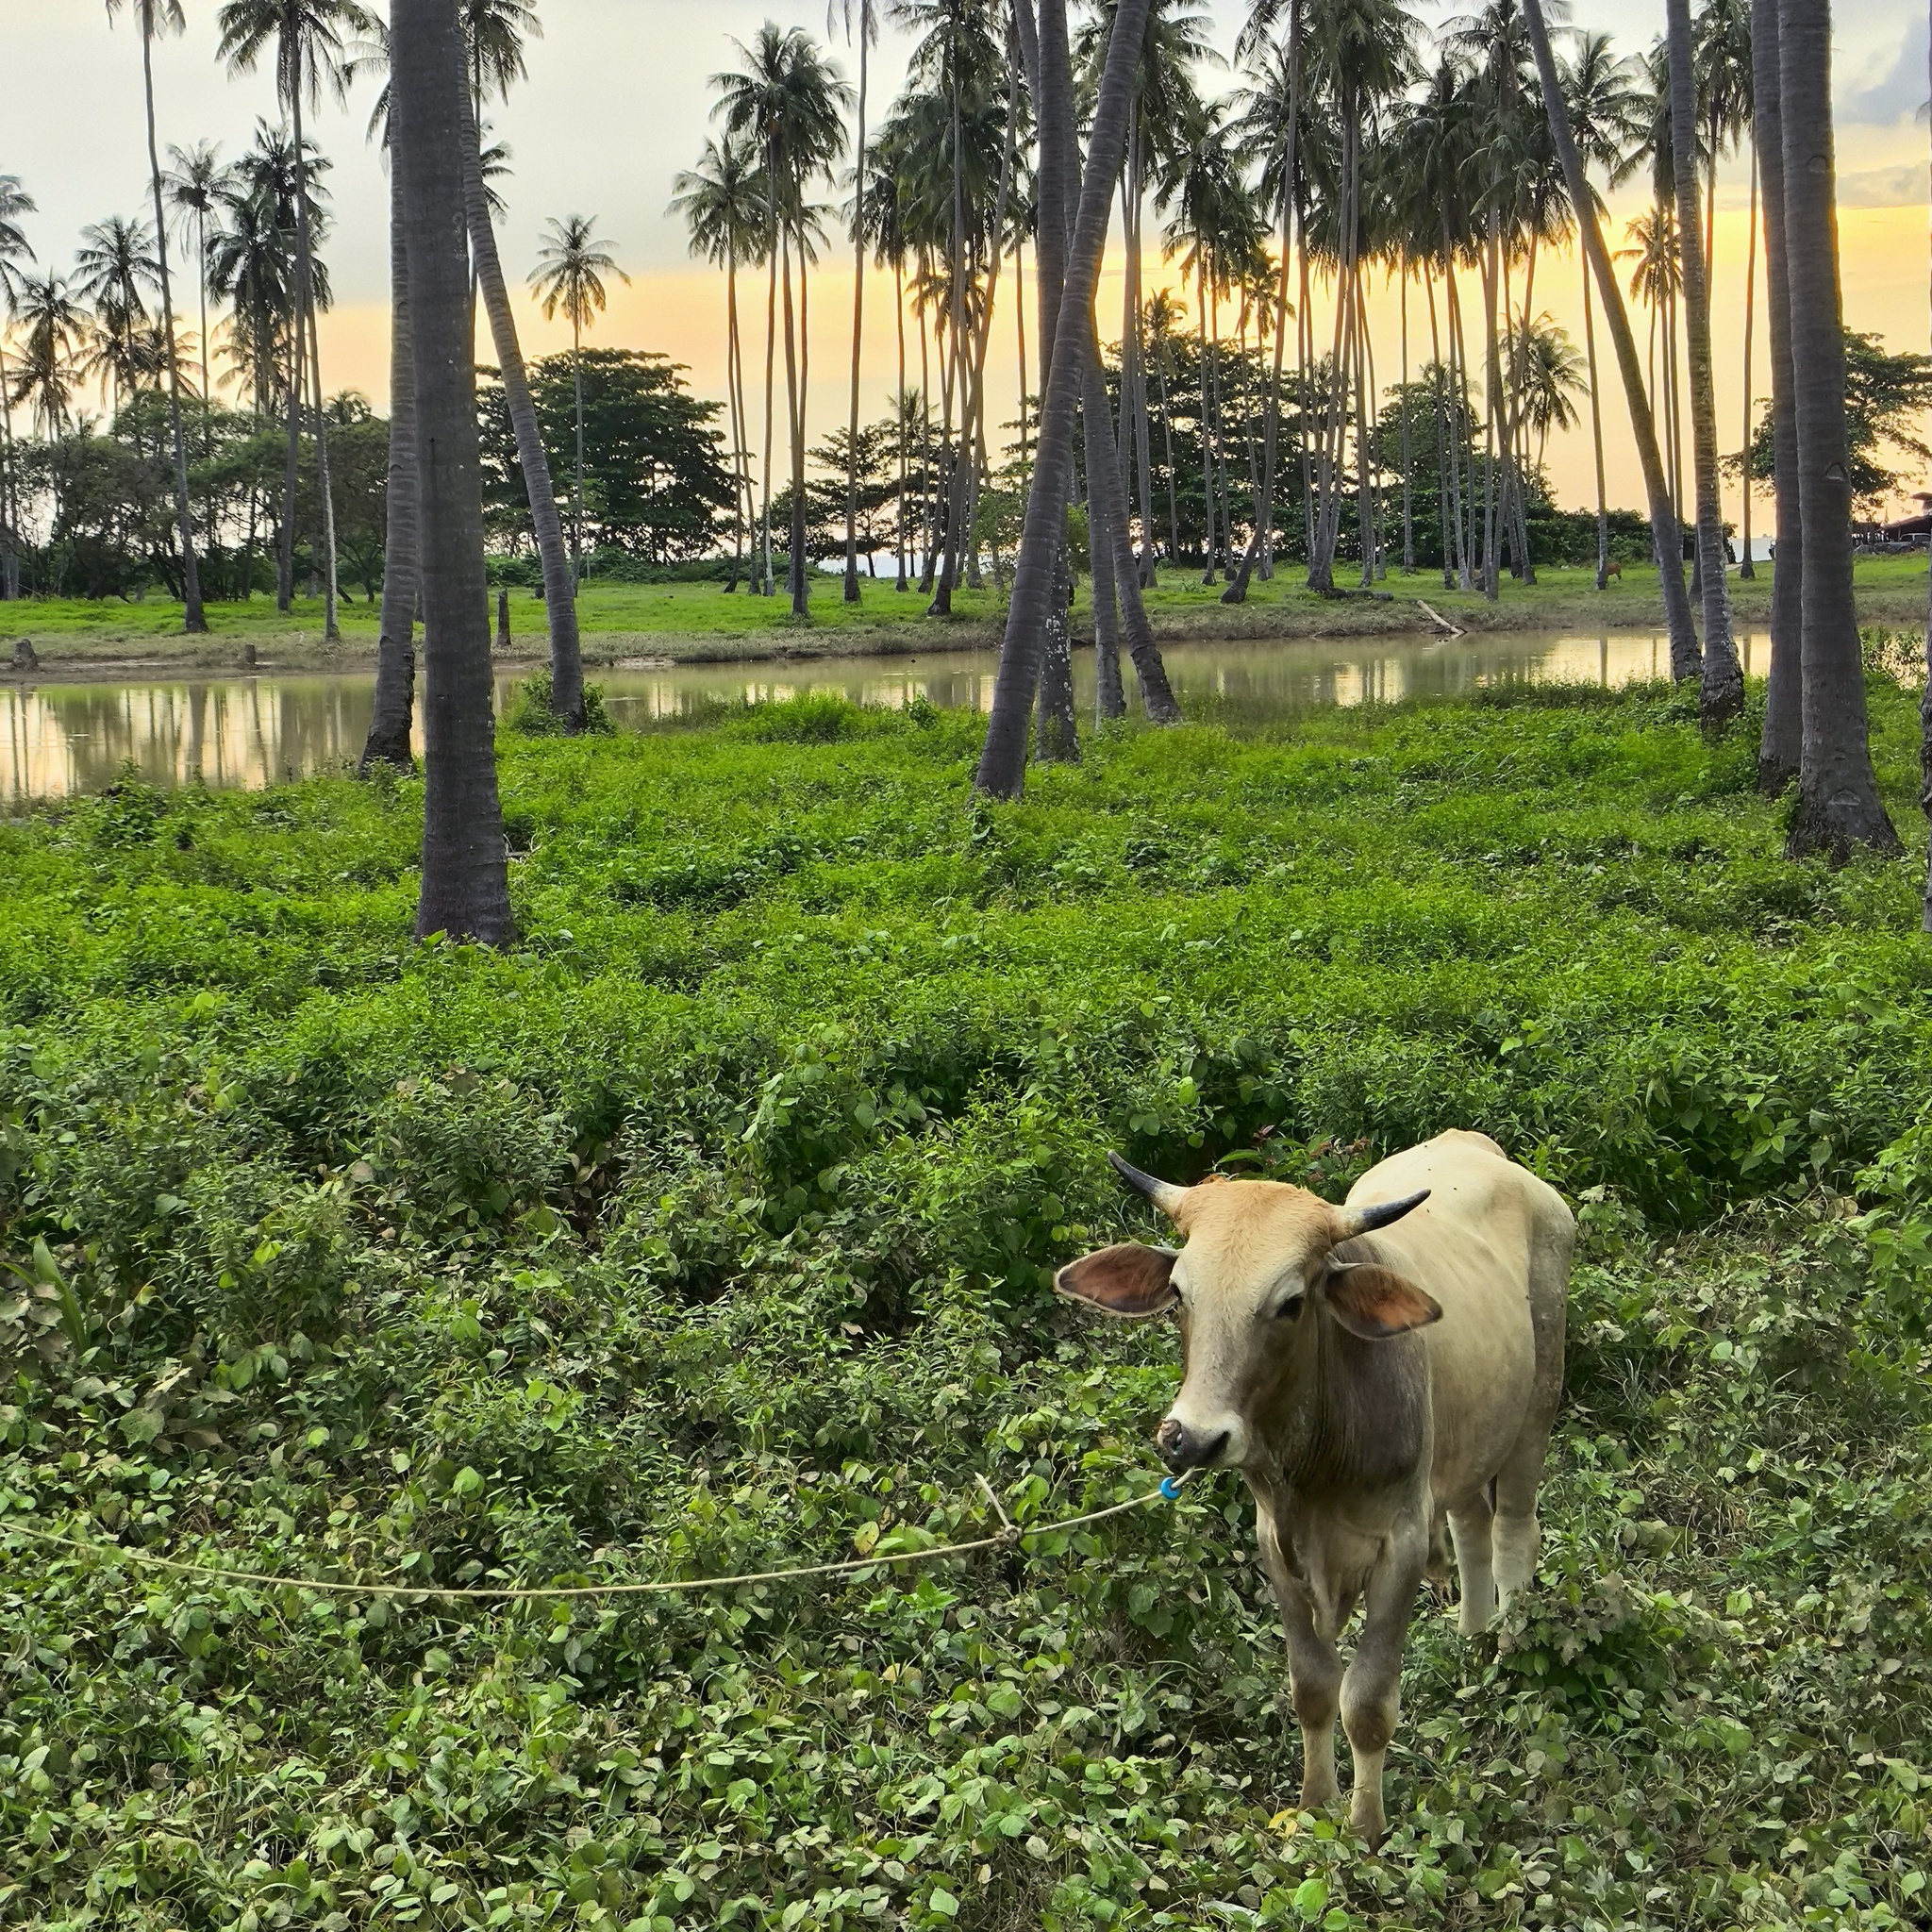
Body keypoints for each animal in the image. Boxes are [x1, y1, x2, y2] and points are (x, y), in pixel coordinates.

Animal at [1058, 1128, 1568, 1839]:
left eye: (1291, 1302)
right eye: (1181, 1295)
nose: (1193, 1438)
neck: (1317, 1465)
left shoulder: (1402, 1544)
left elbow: (1368, 1703)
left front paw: (1365, 1828)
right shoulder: (1277, 1544)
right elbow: (1314, 1688)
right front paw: (1315, 1803)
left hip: (1536, 1410)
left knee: (1517, 1528)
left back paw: (1509, 1653)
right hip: (1472, 1440)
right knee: (1472, 1525)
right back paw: (1471, 1637)